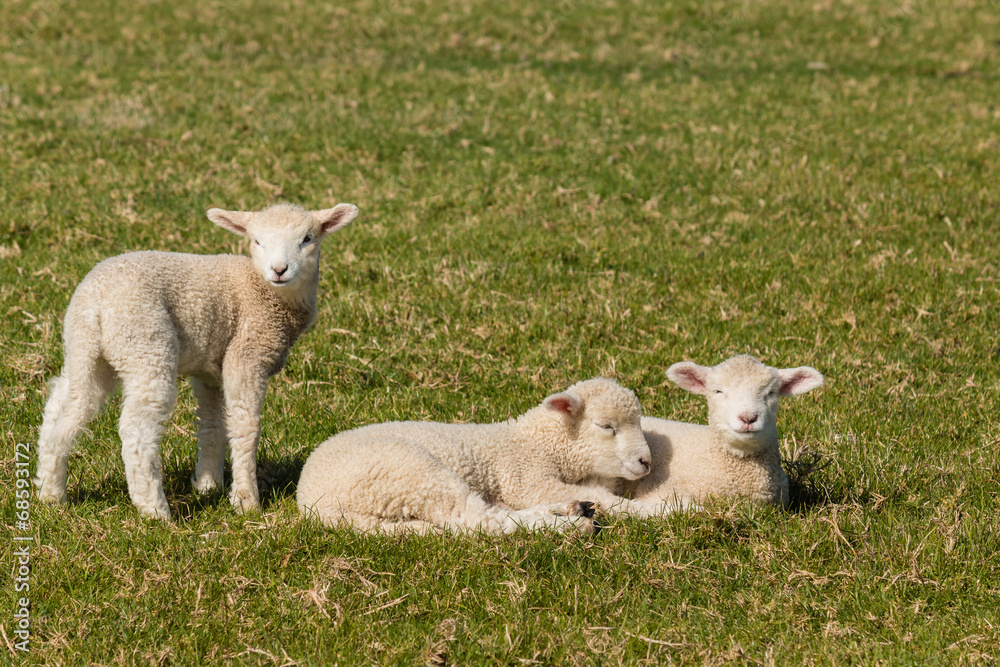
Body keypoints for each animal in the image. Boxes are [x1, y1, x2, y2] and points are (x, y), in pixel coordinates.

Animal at [34, 201, 359, 520]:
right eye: (257, 241)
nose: (279, 270)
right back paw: (155, 511)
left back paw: (51, 492)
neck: (264, 292)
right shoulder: (247, 355)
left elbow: (213, 423)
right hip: (145, 344)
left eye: (307, 239)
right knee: (136, 431)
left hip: (85, 351)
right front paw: (246, 501)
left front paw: (208, 485)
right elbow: (246, 426)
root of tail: (95, 302)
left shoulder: (211, 368)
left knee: (63, 408)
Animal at [297, 378, 674, 535]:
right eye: (606, 426)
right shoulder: (528, 480)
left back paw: (570, 510)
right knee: (478, 520)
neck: (536, 443)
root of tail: (312, 503)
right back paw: (571, 525)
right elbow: (611, 500)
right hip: (410, 473)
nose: (647, 462)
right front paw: (670, 511)